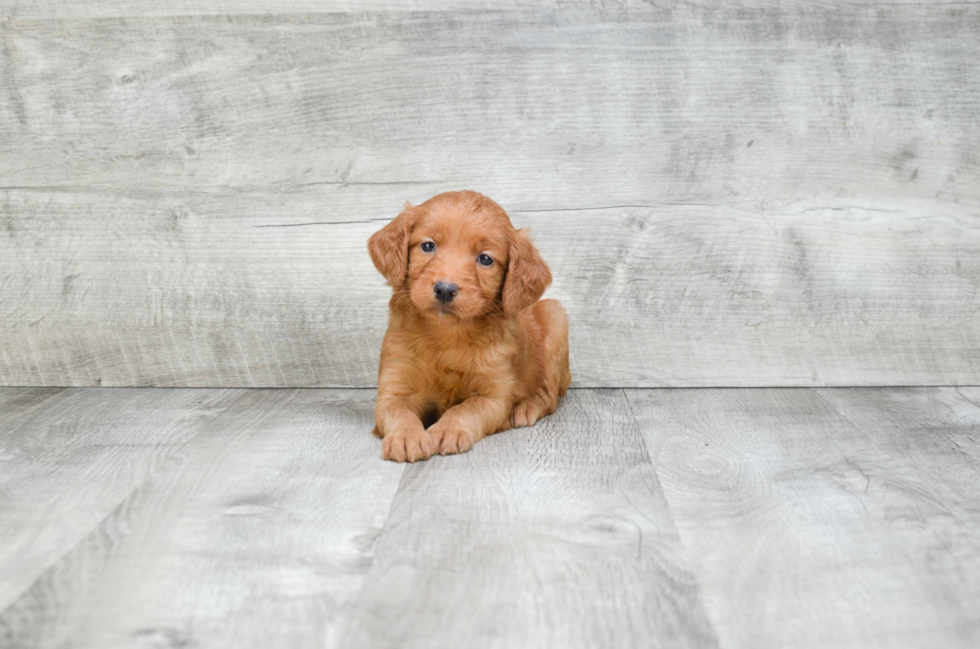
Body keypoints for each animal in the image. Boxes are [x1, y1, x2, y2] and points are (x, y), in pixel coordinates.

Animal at [368, 190, 572, 464]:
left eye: (485, 259)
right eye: (427, 246)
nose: (445, 289)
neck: (448, 334)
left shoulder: (493, 397)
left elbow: (465, 409)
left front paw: (446, 430)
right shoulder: (394, 387)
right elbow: (399, 412)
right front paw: (406, 436)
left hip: (555, 317)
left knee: (548, 396)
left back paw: (525, 408)